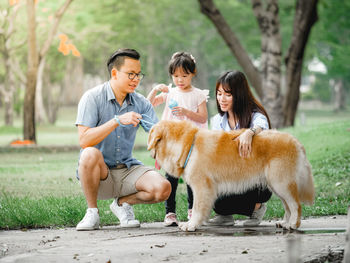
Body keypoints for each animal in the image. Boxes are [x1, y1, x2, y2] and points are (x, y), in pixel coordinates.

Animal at [147, 120, 314, 232]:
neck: (189, 146)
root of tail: (296, 141)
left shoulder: (202, 187)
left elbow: (196, 208)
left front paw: (191, 225)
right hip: (276, 185)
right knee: (288, 206)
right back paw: (285, 223)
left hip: (281, 183)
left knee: (295, 205)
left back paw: (293, 224)